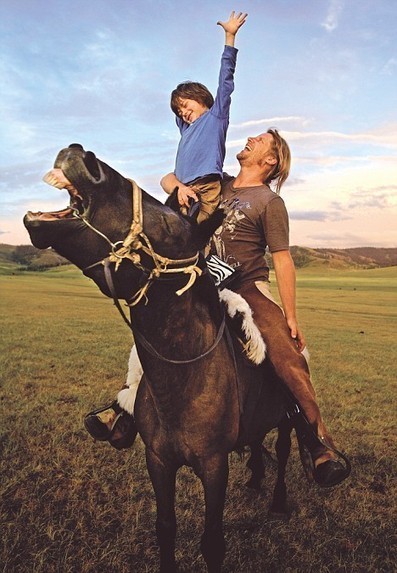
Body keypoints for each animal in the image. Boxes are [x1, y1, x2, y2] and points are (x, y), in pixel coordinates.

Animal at [23, 144, 292, 572]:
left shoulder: (214, 466)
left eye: (168, 228)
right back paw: (254, 478)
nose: (84, 156)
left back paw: (280, 499)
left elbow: (212, 542)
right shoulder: (159, 461)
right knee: (256, 441)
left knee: (282, 451)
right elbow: (165, 529)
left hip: (286, 416)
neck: (184, 383)